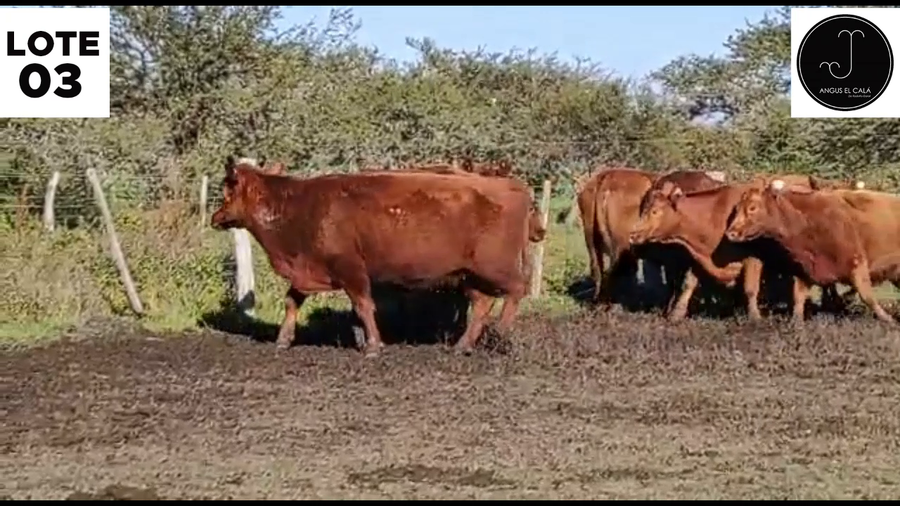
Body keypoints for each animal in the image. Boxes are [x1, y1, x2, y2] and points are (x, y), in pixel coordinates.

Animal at [210, 156, 541, 356]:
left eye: (227, 191)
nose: (216, 217)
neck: (301, 208)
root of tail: (512, 186)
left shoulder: (351, 269)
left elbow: (363, 305)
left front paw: (372, 345)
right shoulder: (310, 270)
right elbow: (293, 301)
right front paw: (283, 339)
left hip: (495, 267)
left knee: (517, 289)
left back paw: (502, 333)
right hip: (467, 275)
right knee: (483, 303)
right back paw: (462, 346)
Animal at [723, 180, 897, 323]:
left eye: (752, 208)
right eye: (737, 208)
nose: (731, 233)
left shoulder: (856, 263)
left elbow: (867, 296)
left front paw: (888, 319)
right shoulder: (805, 270)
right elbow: (798, 297)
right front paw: (796, 322)